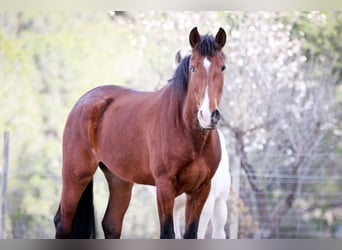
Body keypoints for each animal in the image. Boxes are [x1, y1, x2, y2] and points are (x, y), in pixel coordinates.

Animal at [54, 26, 227, 238]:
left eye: (222, 67)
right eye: (193, 68)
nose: (208, 116)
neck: (188, 134)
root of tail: (83, 101)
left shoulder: (201, 190)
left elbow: (191, 234)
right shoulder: (165, 187)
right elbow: (167, 233)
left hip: (119, 180)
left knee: (111, 224)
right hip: (76, 176)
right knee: (63, 223)